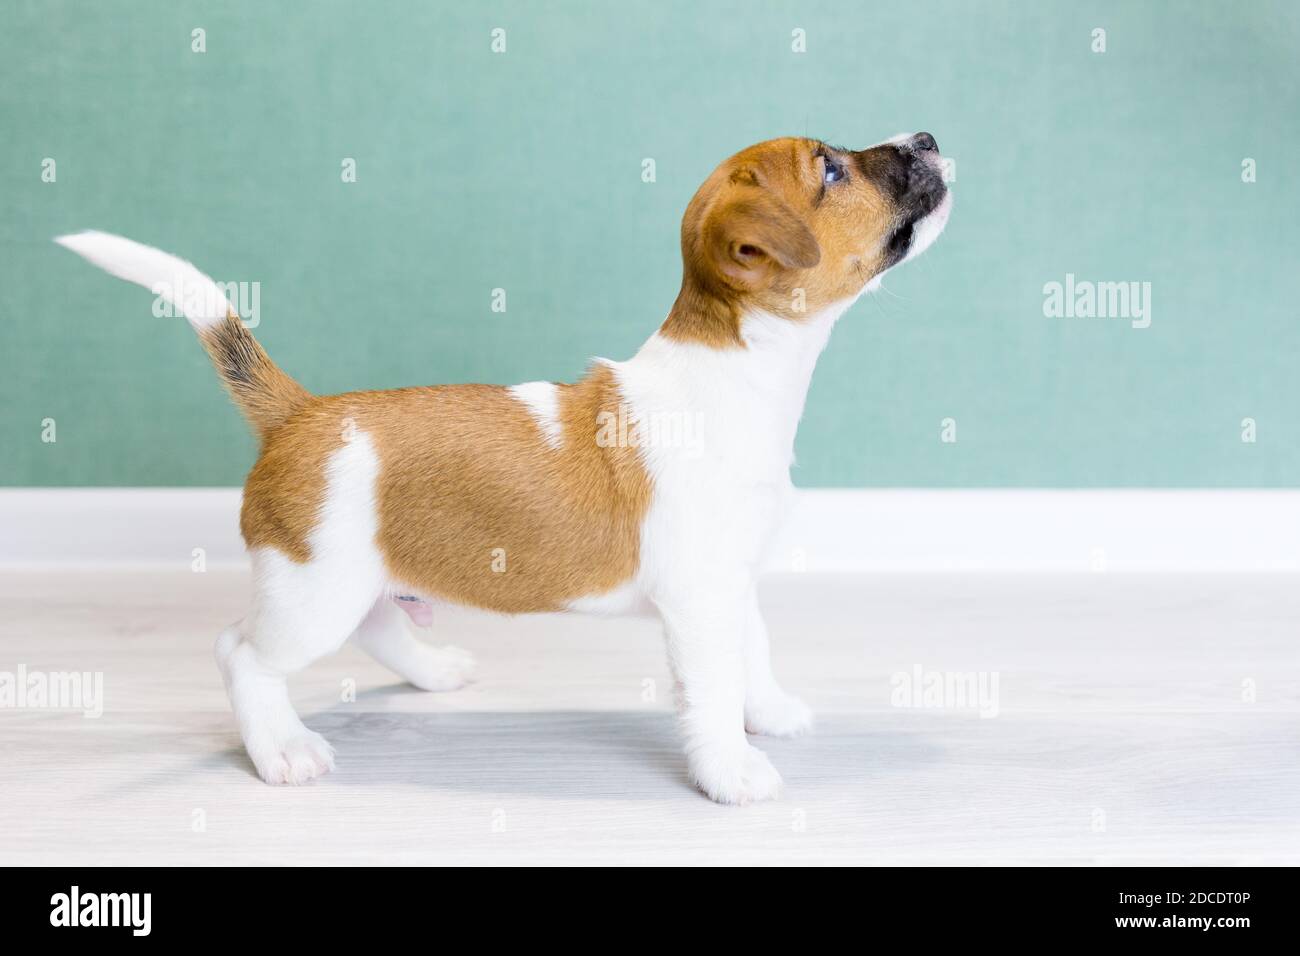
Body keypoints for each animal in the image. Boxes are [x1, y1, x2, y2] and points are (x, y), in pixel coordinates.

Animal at [58, 130, 956, 806]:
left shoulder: (733, 582)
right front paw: (732, 770)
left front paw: (766, 710)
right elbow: (710, 691)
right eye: (830, 169)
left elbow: (755, 650)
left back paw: (434, 671)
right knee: (239, 654)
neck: (736, 370)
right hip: (314, 595)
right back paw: (281, 748)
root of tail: (298, 412)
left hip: (359, 578)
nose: (927, 139)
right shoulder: (698, 601)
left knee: (377, 625)